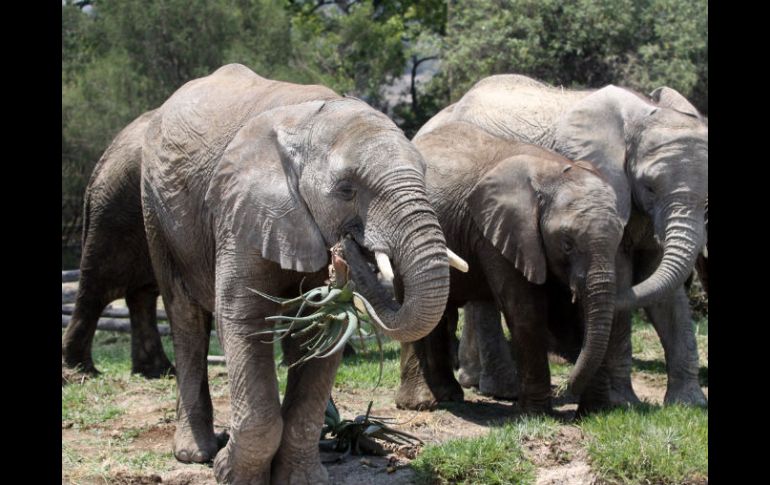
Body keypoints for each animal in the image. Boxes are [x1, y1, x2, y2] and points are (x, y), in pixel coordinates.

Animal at [61, 63, 462, 480]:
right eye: (345, 190)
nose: (347, 252)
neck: (309, 121)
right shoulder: (239, 210)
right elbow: (243, 320)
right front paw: (230, 474)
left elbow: (321, 333)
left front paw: (302, 479)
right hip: (156, 212)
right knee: (185, 317)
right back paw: (194, 453)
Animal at [392, 118, 628, 412]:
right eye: (567, 244)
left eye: (619, 239)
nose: (566, 387)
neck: (552, 171)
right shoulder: (498, 232)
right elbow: (527, 311)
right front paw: (534, 413)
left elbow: (569, 316)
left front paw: (596, 411)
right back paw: (420, 403)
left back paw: (448, 395)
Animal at [416, 73, 704, 404]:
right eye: (650, 187)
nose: (565, 391)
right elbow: (624, 275)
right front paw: (623, 402)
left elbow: (666, 295)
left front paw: (689, 403)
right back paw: (501, 390)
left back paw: (479, 382)